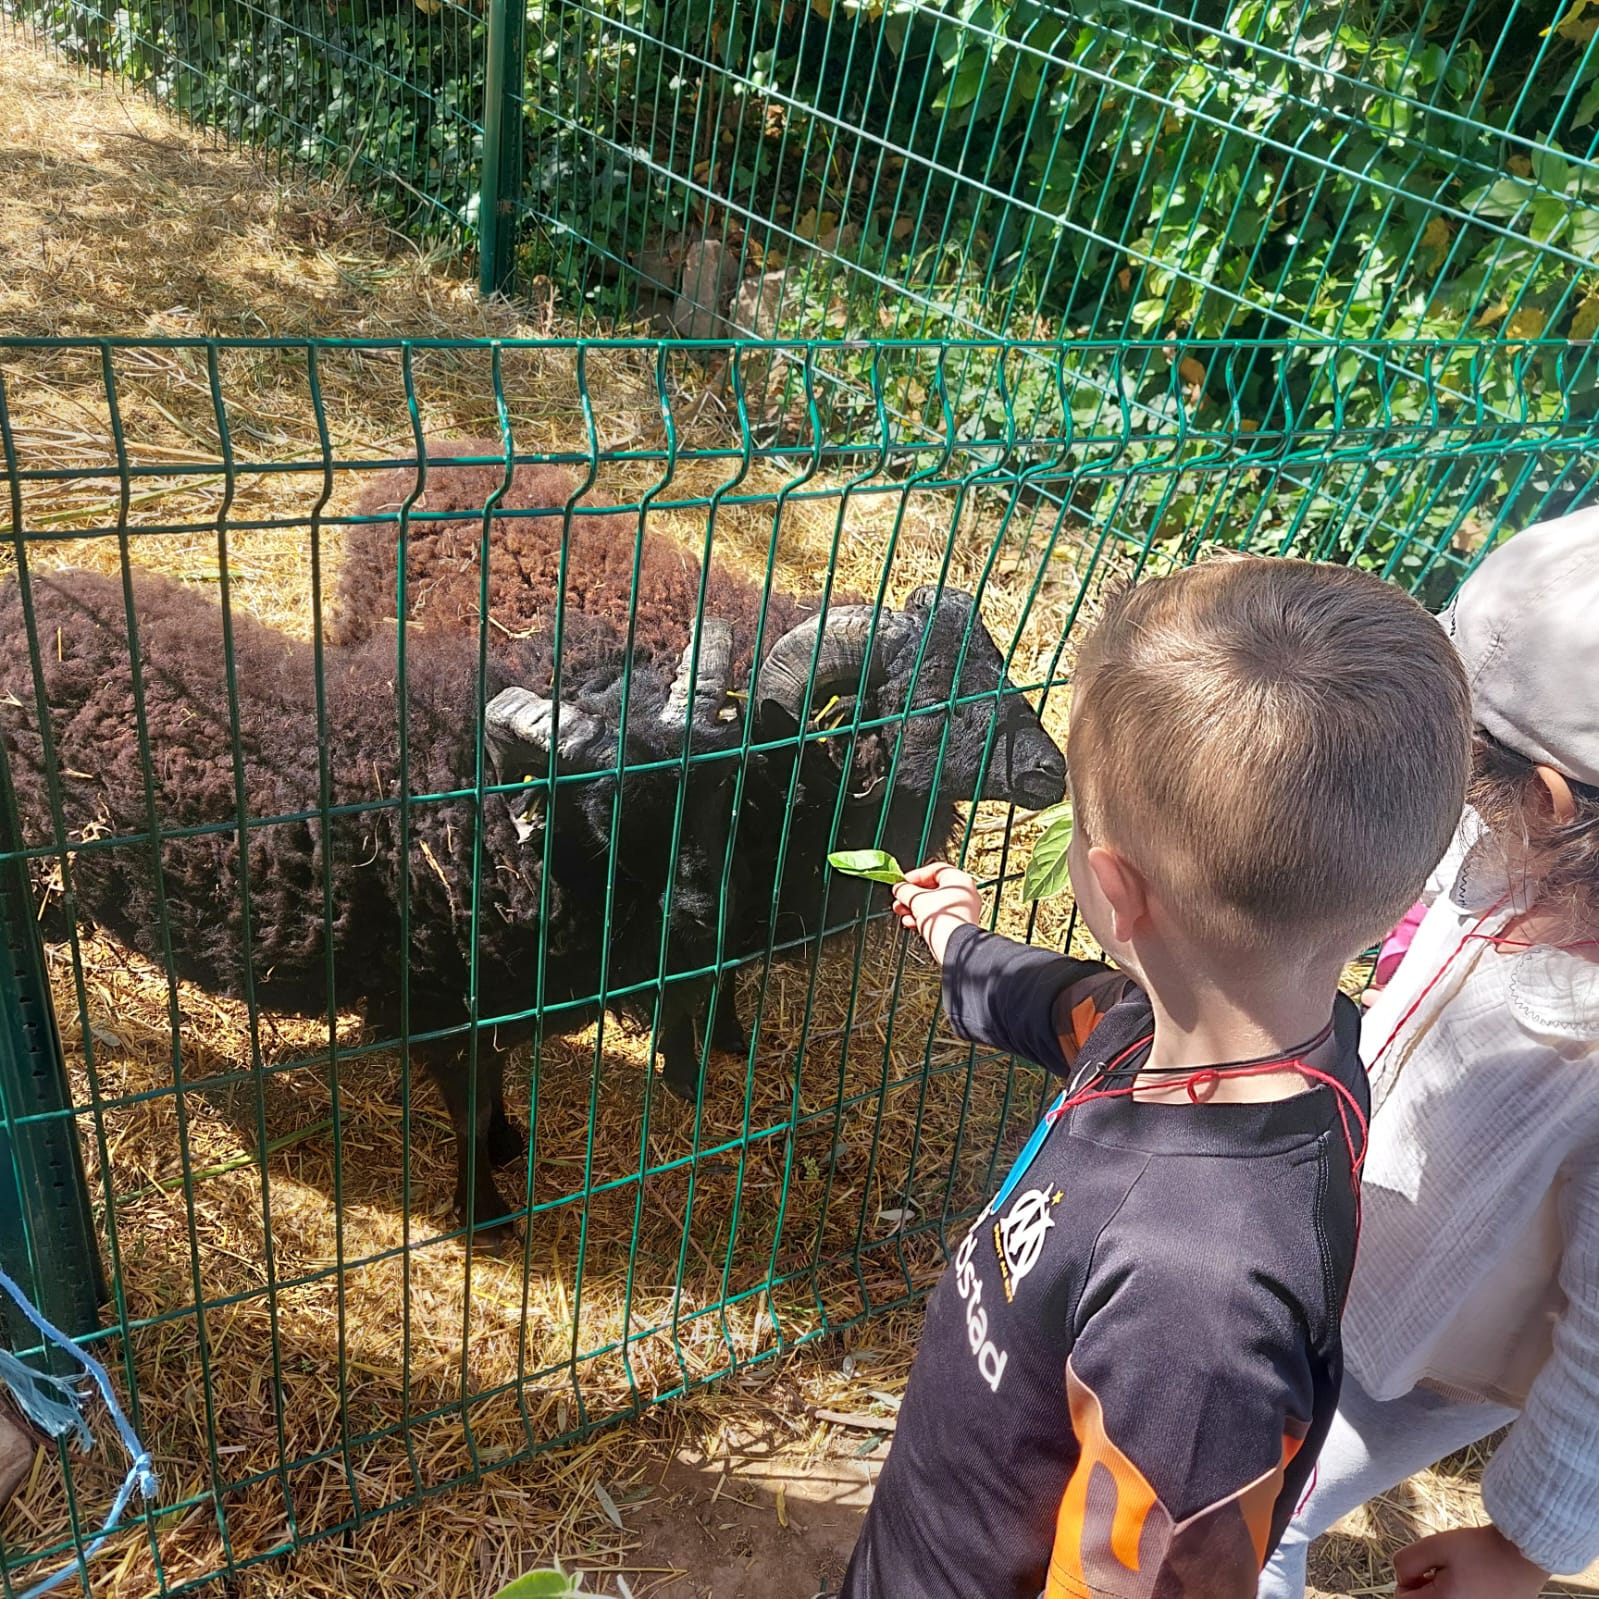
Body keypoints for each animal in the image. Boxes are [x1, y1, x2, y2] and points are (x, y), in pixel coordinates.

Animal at [0, 566, 741, 1234]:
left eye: (716, 789)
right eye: (608, 815)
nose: (708, 914)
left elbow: (497, 1081)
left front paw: (508, 1141)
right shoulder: (441, 1004)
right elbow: (470, 1110)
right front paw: (485, 1213)